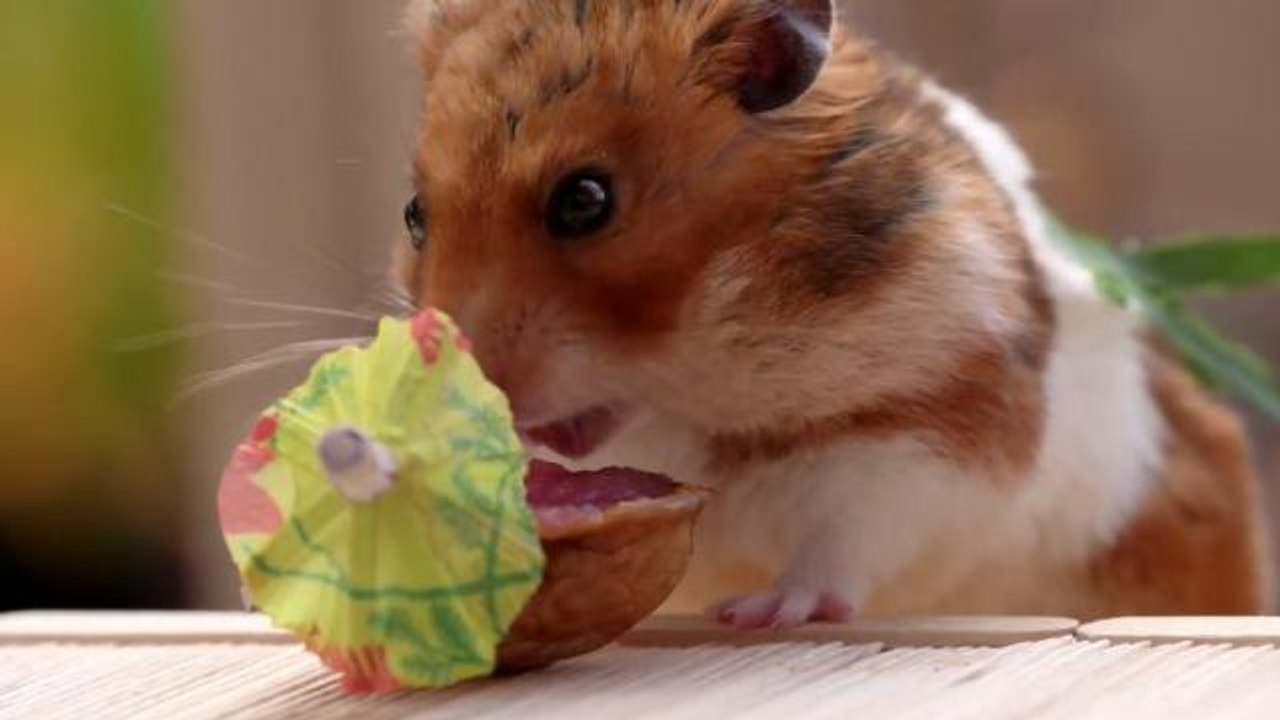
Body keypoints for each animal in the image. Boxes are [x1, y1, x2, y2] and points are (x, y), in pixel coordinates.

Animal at [395, 0, 1273, 626]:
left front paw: (765, 612)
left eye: (584, 201)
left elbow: (846, 536)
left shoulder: (934, 428)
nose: (464, 386)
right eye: (413, 213)